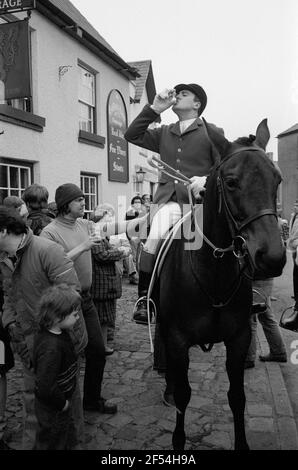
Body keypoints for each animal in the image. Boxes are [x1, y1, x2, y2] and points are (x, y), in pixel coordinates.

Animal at [154, 119, 286, 450]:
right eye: (231, 182)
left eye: (277, 179)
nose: (272, 257)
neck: (212, 270)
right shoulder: (177, 339)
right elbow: (184, 397)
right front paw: (178, 440)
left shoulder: (238, 339)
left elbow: (237, 397)